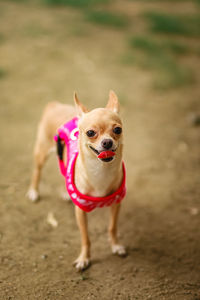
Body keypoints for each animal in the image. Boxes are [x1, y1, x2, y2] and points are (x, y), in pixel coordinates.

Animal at [27, 90, 126, 270]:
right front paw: (84, 258)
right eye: (90, 133)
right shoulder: (80, 211)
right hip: (41, 153)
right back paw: (33, 191)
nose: (107, 142)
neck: (100, 171)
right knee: (37, 171)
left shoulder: (116, 204)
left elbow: (112, 227)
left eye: (117, 129)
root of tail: (55, 105)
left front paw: (115, 245)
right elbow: (86, 237)